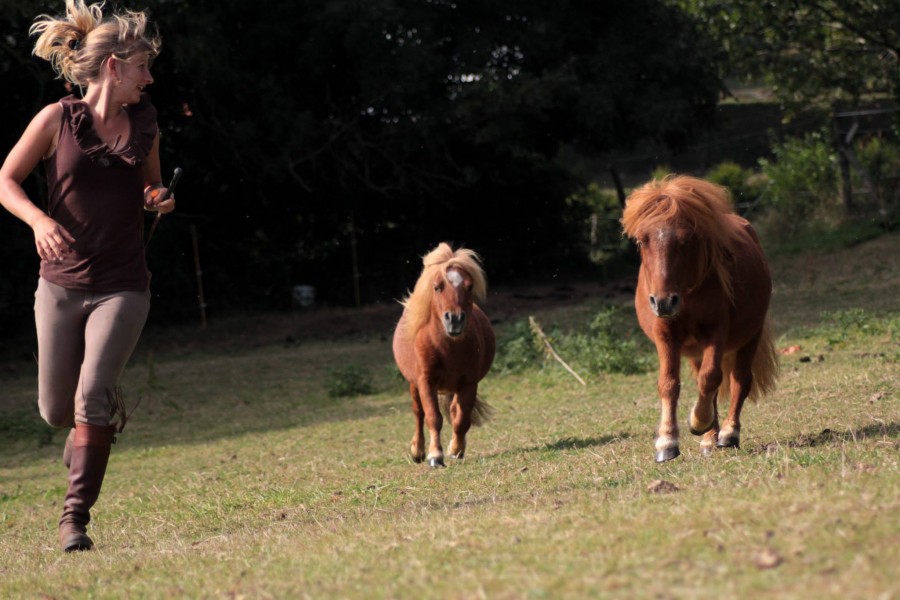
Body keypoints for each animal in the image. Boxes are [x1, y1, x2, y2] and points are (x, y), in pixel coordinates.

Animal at [390, 241, 496, 466]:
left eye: (469, 286)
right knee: (418, 413)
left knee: (455, 411)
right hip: (414, 384)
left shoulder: (469, 383)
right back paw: (418, 450)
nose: (454, 320)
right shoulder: (425, 381)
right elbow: (433, 417)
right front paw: (435, 456)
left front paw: (456, 450)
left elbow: (461, 419)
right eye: (437, 287)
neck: (447, 347)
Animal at [624, 176, 776, 462]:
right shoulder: (666, 335)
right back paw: (709, 439)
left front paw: (698, 421)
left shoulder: (716, 332)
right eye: (641, 241)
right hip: (694, 350)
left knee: (739, 380)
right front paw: (667, 441)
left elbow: (711, 377)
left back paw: (728, 433)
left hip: (750, 336)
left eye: (686, 240)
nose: (663, 301)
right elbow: (669, 384)